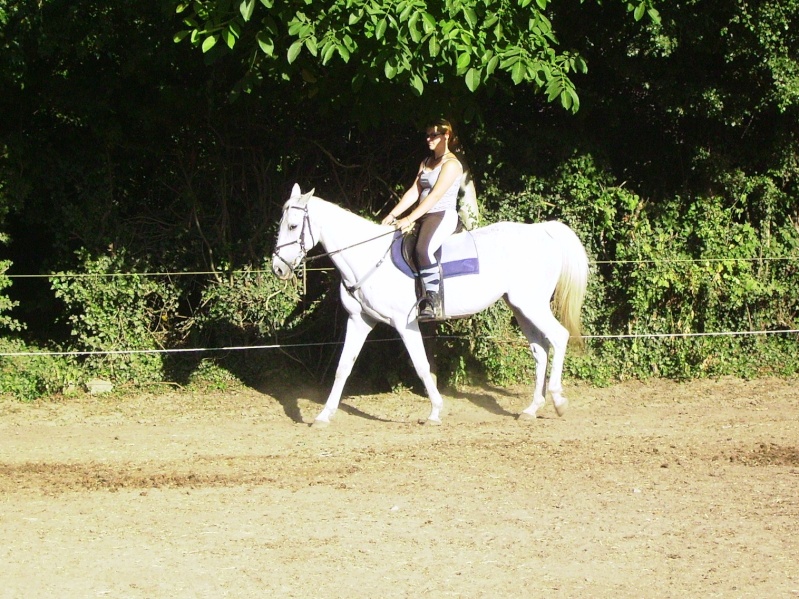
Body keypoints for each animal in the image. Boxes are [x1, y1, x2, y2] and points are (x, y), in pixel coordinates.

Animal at [272, 184, 592, 426]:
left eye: (293, 226)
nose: (278, 268)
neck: (367, 256)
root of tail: (541, 231)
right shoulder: (359, 321)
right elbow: (342, 368)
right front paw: (323, 416)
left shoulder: (405, 324)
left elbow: (422, 366)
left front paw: (436, 412)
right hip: (520, 307)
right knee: (540, 350)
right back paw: (531, 409)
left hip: (532, 304)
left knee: (559, 337)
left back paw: (558, 400)